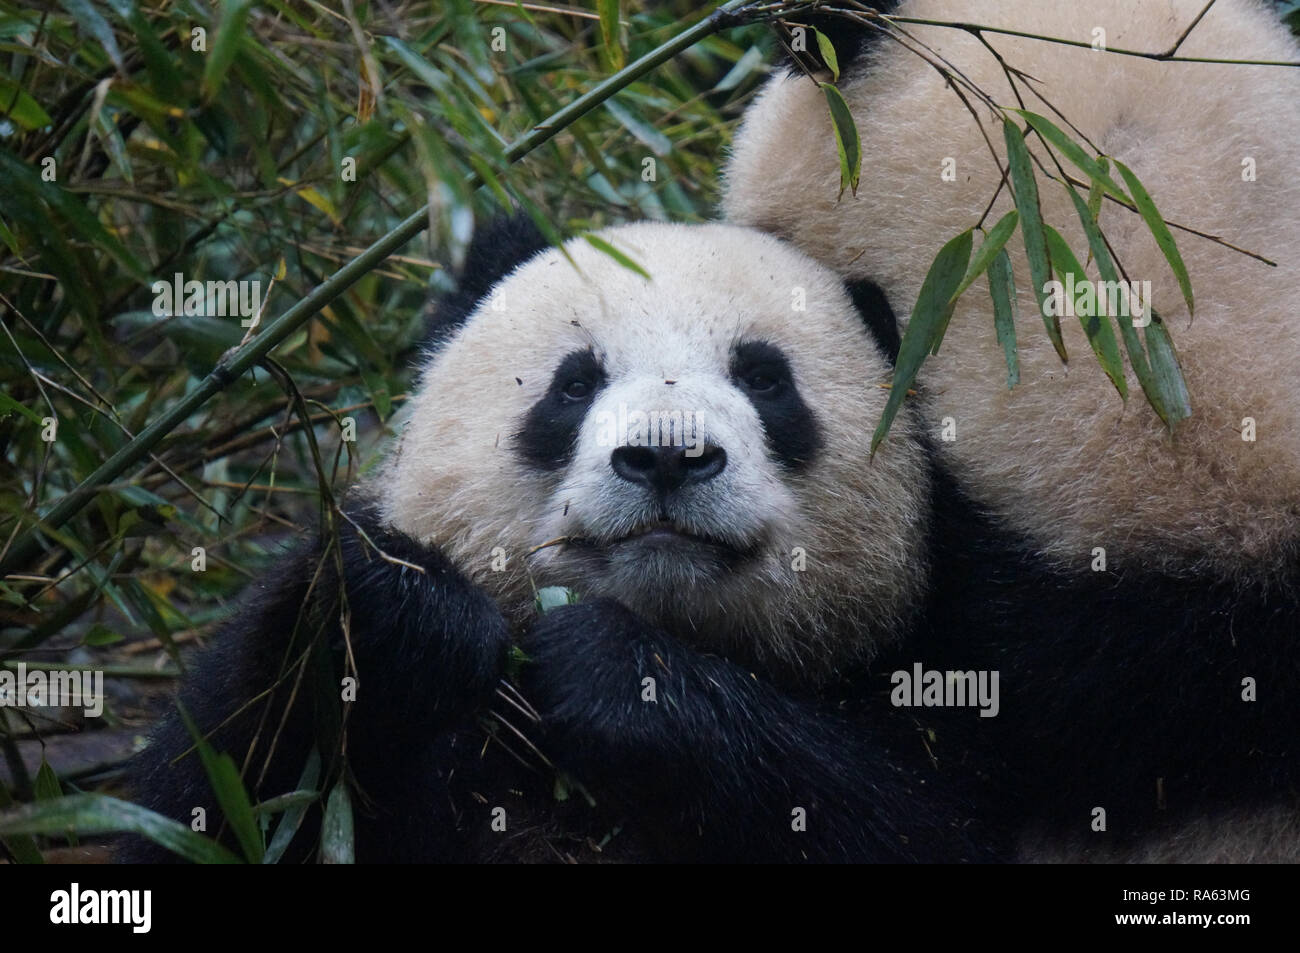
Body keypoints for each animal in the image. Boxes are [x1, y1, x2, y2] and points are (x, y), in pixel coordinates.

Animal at [122, 220, 998, 863]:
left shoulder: (948, 644)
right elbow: (217, 801)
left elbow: (913, 818)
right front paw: (401, 615)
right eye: (574, 384)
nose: (668, 455)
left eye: (765, 378)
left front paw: (615, 677)